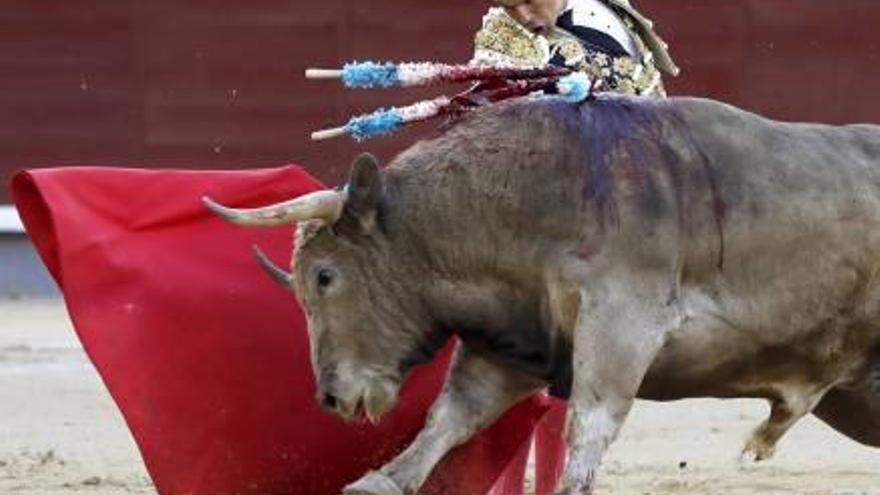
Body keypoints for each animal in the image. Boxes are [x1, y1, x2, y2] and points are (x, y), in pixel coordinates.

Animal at [205, 97, 880, 495]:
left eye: (324, 276)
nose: (331, 397)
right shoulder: (512, 344)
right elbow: (450, 417)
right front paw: (380, 481)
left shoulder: (622, 321)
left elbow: (588, 423)